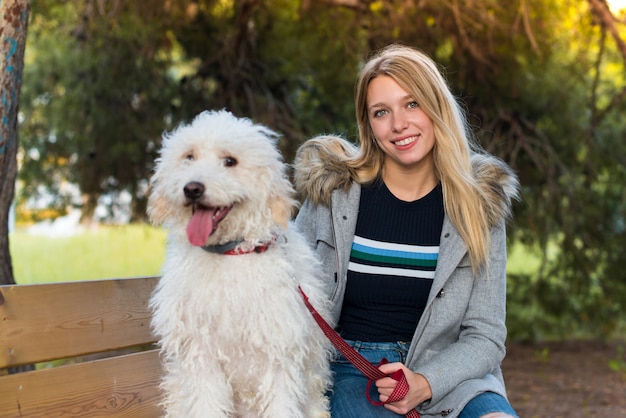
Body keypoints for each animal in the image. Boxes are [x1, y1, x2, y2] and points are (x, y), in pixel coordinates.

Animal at [147, 110, 332, 418]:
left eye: (230, 161)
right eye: (189, 157)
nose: (192, 188)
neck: (230, 254)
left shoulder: (279, 354)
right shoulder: (201, 354)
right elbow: (207, 405)